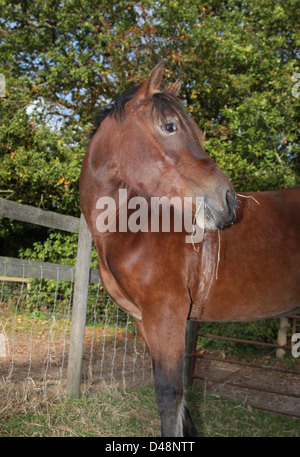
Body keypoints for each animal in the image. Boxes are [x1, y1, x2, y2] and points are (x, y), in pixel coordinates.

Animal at [79, 60, 300, 434]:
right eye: (169, 126)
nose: (228, 200)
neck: (133, 228)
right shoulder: (147, 319)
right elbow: (179, 397)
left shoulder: (167, 313)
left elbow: (169, 395)